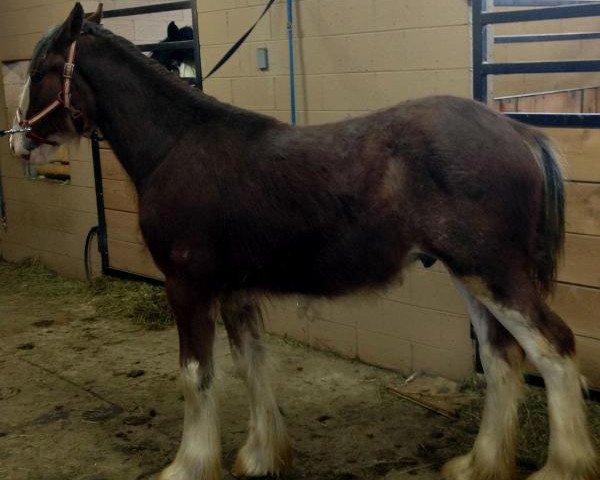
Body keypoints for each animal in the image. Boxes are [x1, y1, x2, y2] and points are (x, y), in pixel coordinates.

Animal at [10, 4, 600, 480]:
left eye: (38, 72)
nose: (19, 143)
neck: (176, 147)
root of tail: (521, 133)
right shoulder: (235, 293)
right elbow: (251, 365)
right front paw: (261, 456)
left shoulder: (188, 288)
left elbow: (196, 375)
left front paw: (189, 465)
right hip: (471, 277)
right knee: (501, 358)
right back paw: (479, 463)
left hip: (496, 274)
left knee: (553, 349)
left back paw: (561, 467)